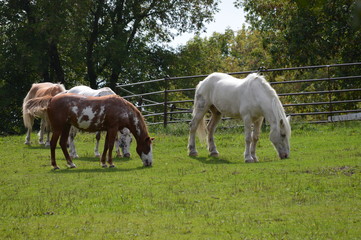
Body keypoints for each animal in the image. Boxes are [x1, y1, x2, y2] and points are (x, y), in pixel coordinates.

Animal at [25, 93, 153, 170]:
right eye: (147, 147)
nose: (150, 163)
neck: (122, 108)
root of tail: (52, 99)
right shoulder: (113, 128)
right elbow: (111, 145)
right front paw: (111, 163)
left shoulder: (108, 129)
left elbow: (106, 146)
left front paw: (103, 163)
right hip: (58, 128)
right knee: (53, 144)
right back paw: (55, 165)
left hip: (66, 127)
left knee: (62, 143)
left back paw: (71, 163)